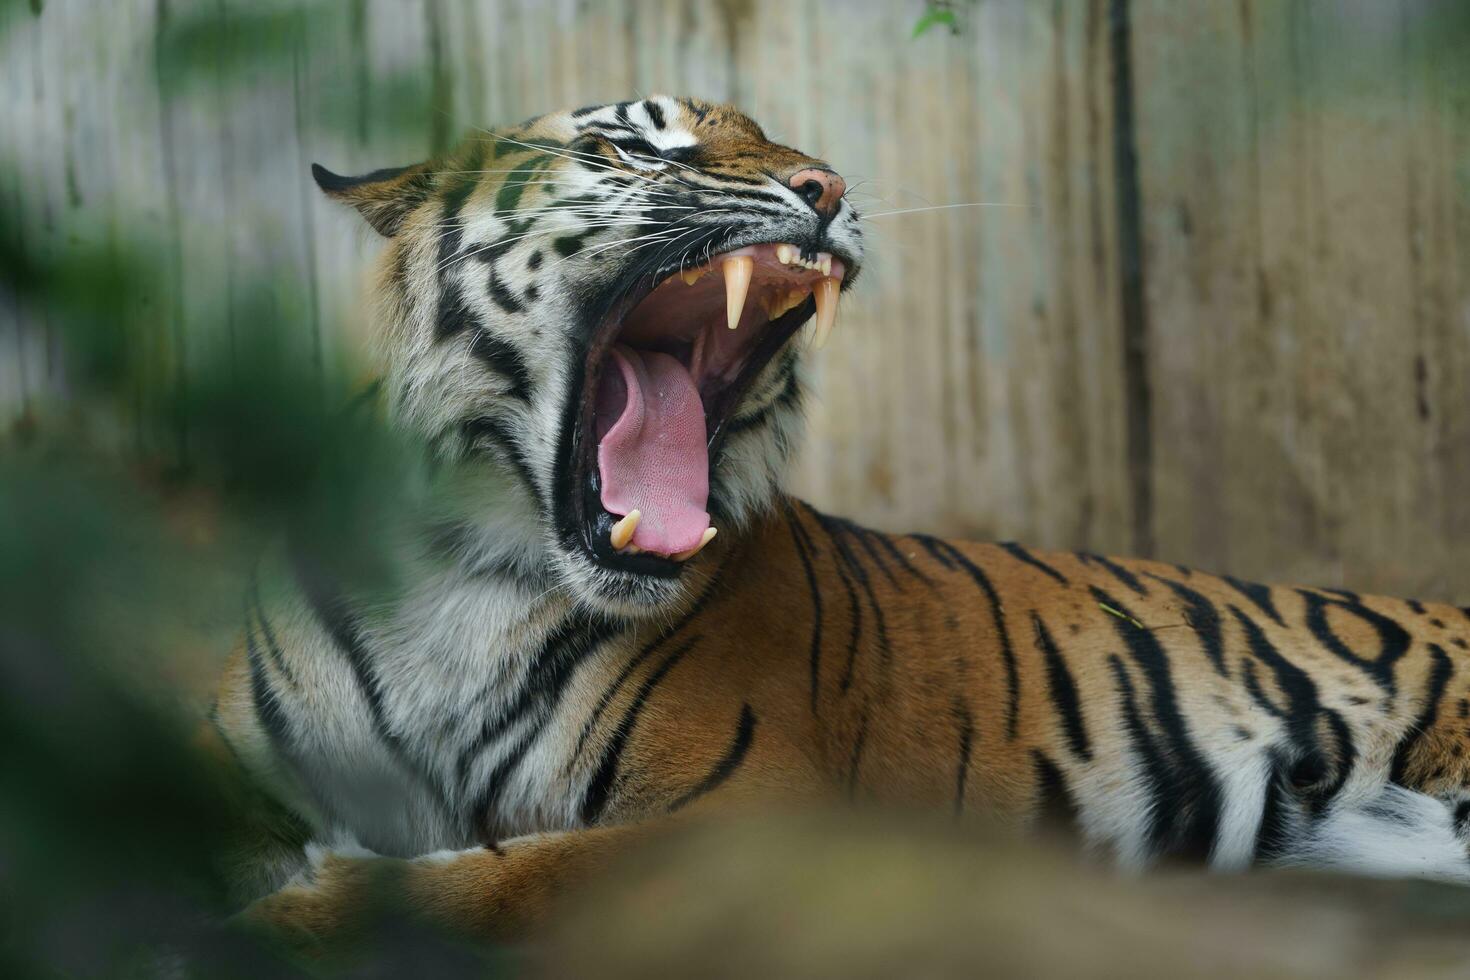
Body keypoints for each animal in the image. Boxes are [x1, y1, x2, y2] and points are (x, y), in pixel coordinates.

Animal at [210, 97, 1470, 940]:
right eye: (633, 143)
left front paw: (293, 908)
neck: (461, 568)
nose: (824, 186)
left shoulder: (754, 808)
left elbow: (509, 871)